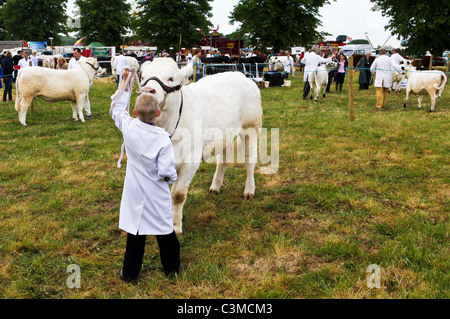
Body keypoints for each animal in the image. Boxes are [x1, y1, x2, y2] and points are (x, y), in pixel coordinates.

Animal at [139, 57, 262, 234]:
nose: (147, 90)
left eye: (171, 78)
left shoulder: (190, 160)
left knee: (249, 161)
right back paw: (216, 186)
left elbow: (178, 195)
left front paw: (175, 227)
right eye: (142, 77)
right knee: (223, 159)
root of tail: (240, 75)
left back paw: (249, 190)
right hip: (224, 133)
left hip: (251, 127)